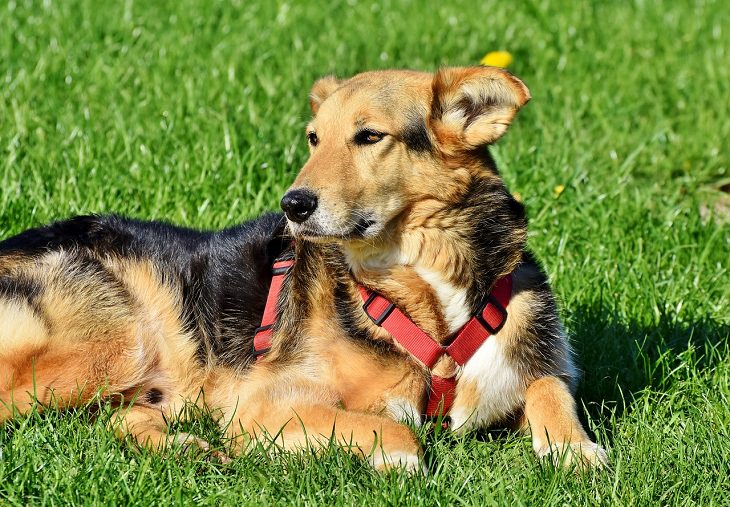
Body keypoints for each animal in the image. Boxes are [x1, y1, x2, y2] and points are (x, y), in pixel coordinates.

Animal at [0, 65, 604, 470]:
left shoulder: (528, 353)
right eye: (314, 139)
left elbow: (550, 389)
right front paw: (399, 459)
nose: (292, 205)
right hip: (118, 340)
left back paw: (189, 450)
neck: (425, 285)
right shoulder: (264, 403)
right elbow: (395, 429)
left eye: (369, 136)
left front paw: (576, 450)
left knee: (118, 419)